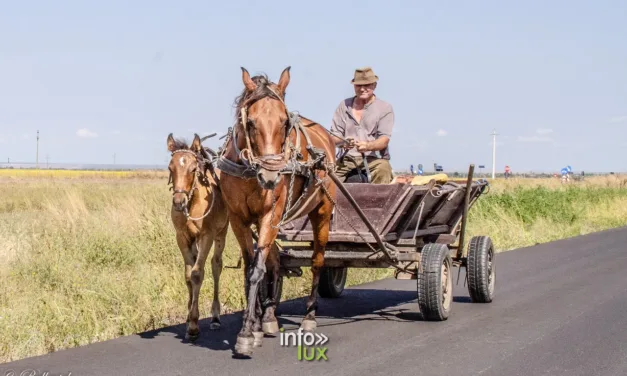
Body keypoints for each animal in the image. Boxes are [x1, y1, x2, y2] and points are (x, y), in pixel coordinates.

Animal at [167, 133, 231, 340]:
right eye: (170, 168)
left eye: (193, 169)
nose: (179, 202)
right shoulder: (182, 237)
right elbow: (188, 275)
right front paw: (188, 317)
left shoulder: (207, 236)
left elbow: (196, 274)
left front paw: (194, 325)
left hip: (221, 234)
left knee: (216, 265)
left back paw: (215, 317)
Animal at [216, 67, 340, 358]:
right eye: (250, 122)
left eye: (284, 123)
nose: (271, 176)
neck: (250, 173)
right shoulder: (238, 220)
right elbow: (252, 268)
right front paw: (256, 325)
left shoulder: (269, 215)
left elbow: (257, 270)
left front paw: (246, 333)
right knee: (273, 260)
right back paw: (269, 317)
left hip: (321, 212)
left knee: (317, 261)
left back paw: (309, 316)